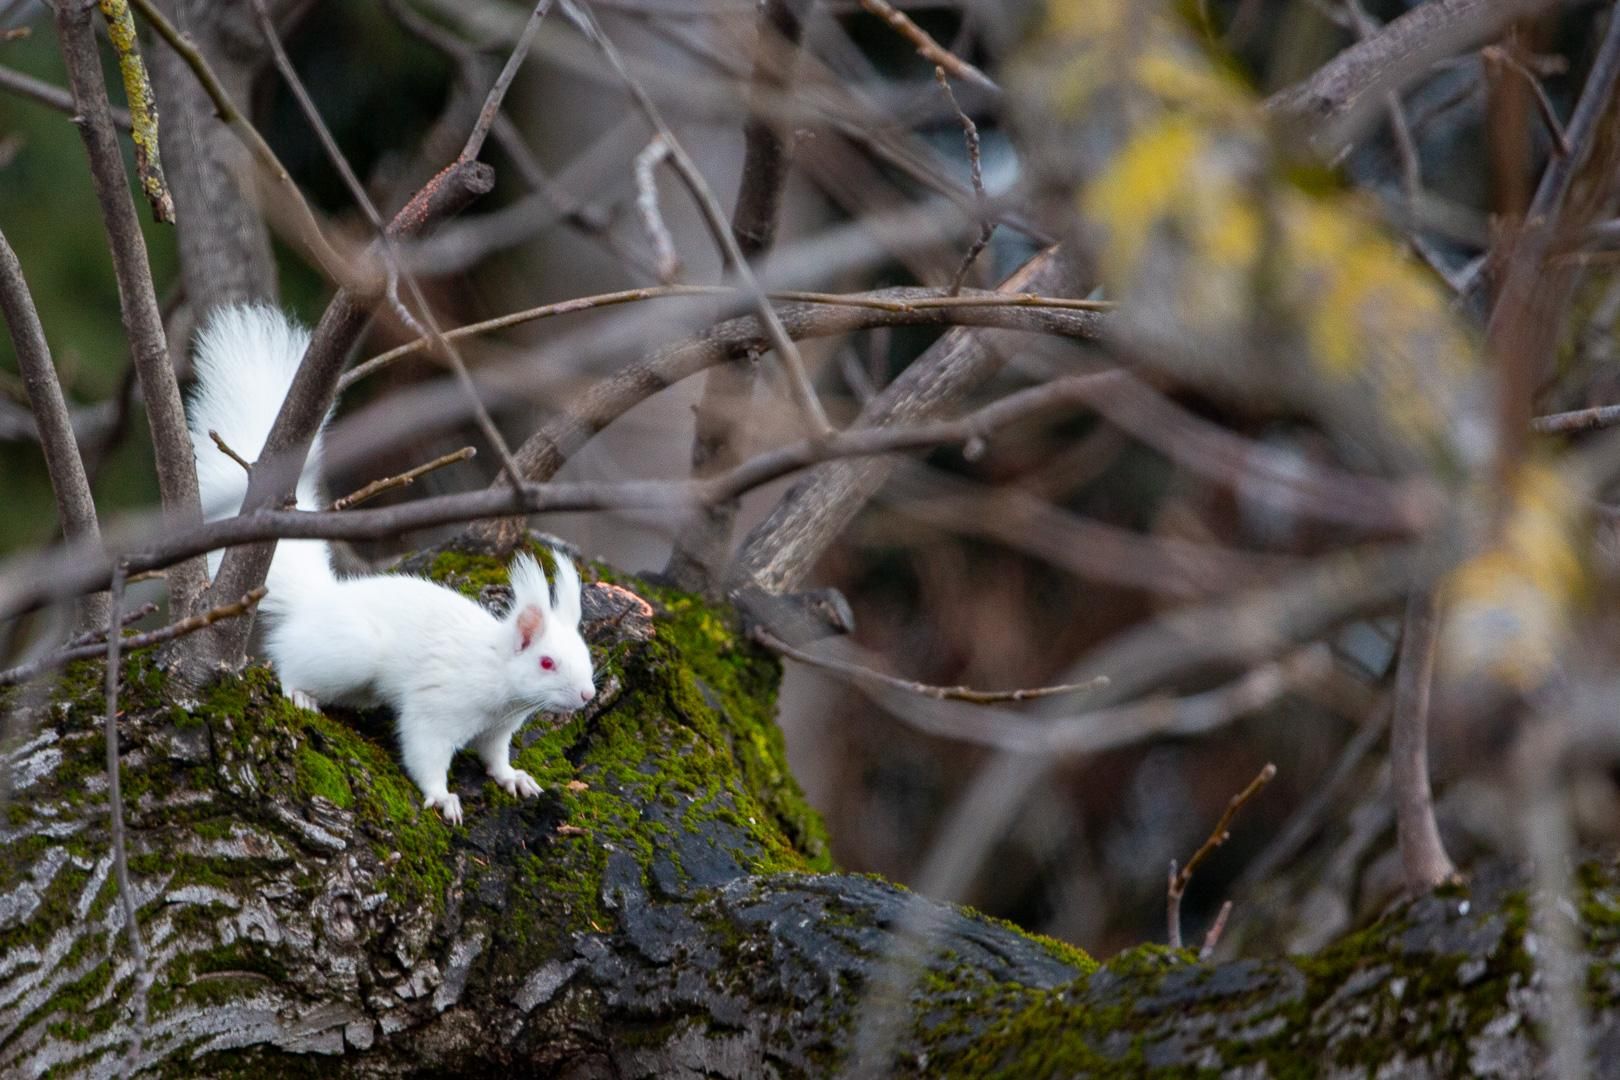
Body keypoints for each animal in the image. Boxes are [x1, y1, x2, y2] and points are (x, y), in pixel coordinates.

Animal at [185, 304, 597, 825]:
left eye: (584, 654)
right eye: (546, 662)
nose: (587, 696)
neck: (497, 675)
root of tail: (320, 601)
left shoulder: (498, 727)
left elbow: (495, 755)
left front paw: (513, 778)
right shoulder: (438, 708)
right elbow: (425, 751)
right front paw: (444, 798)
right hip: (350, 653)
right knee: (288, 664)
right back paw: (300, 693)